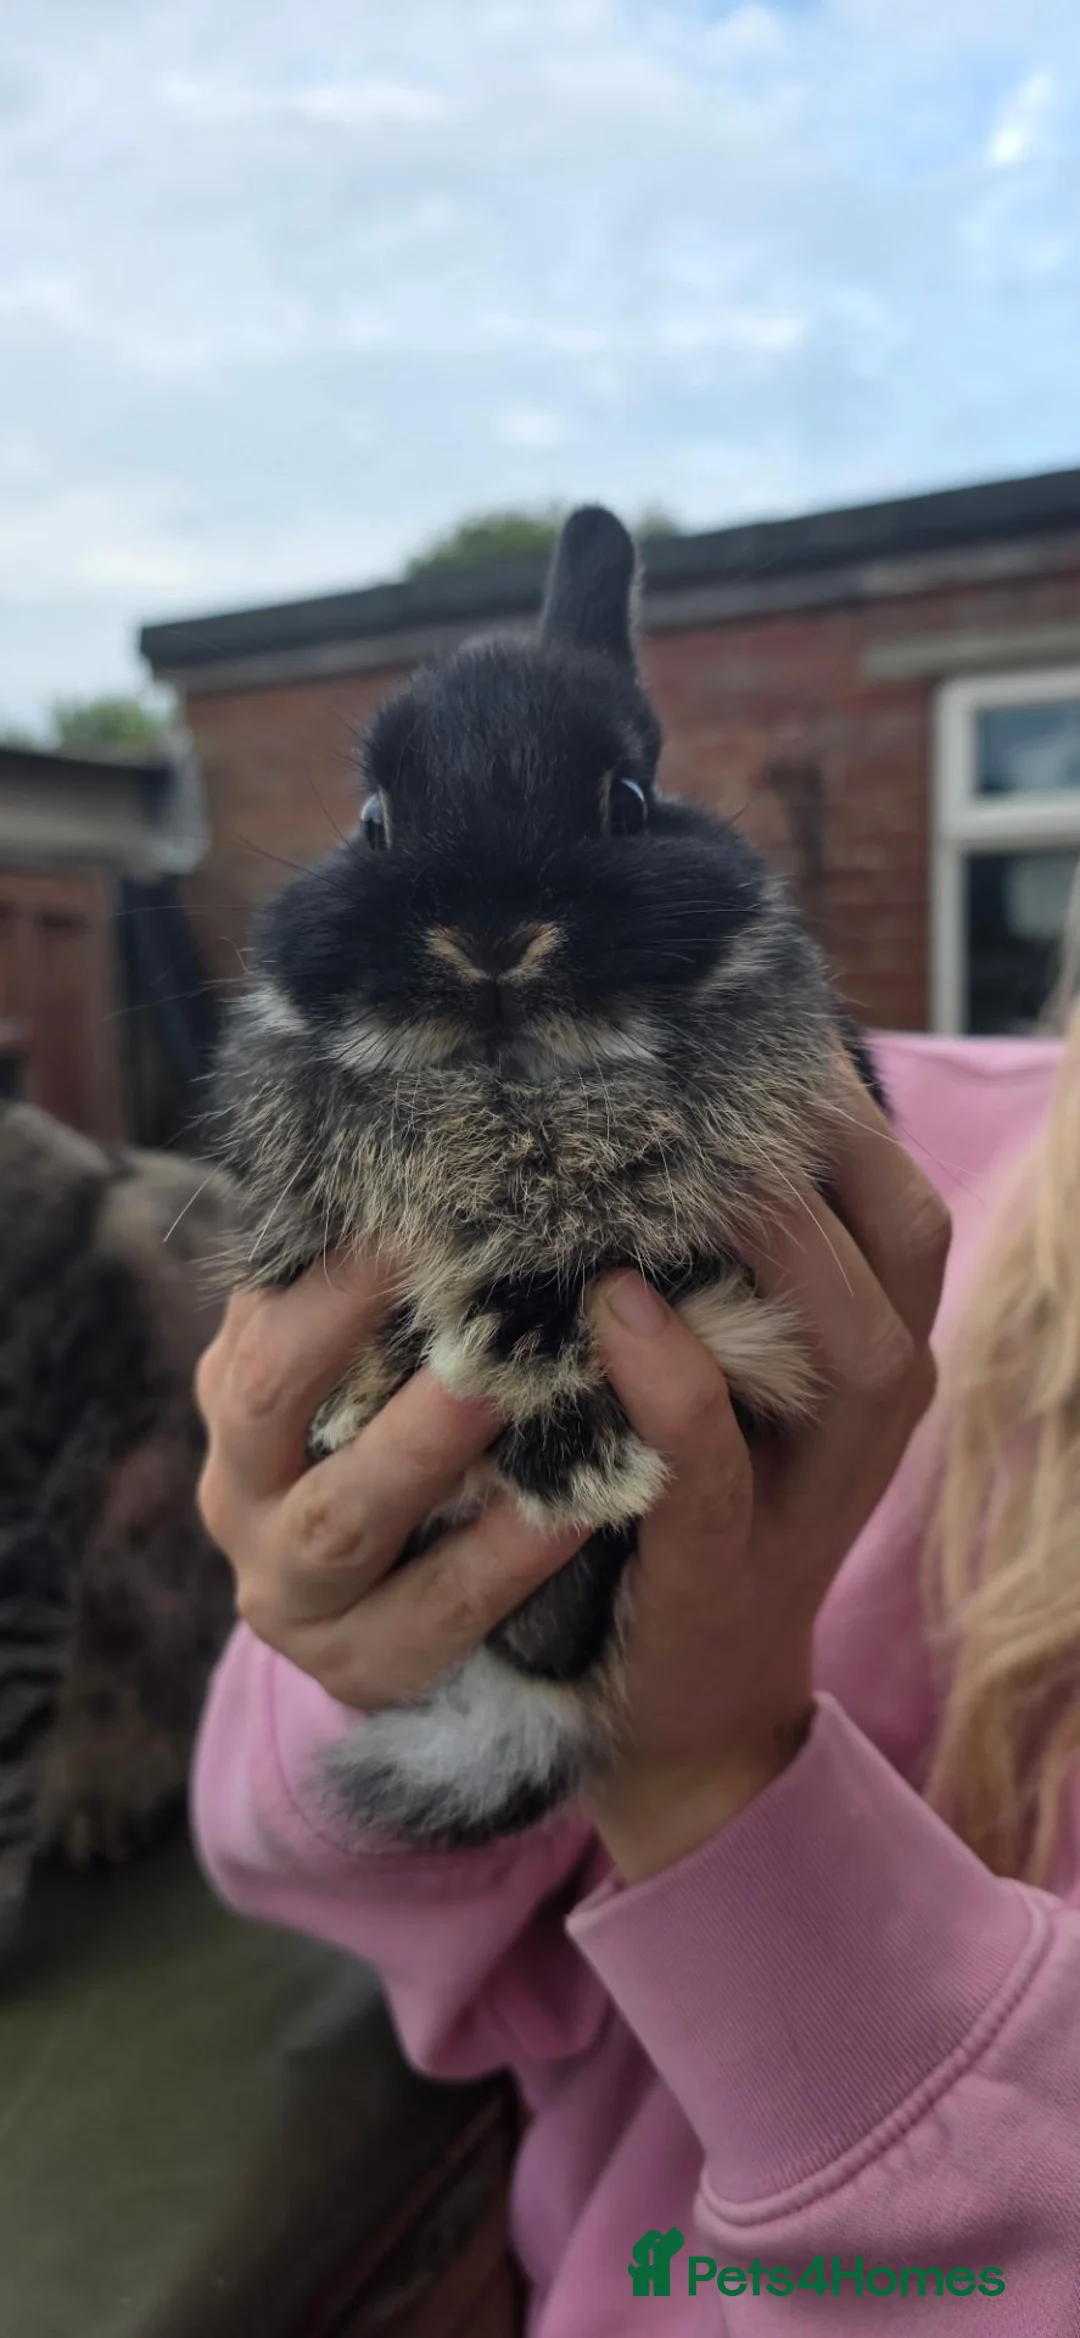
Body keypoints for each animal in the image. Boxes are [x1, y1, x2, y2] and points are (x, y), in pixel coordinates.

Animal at [209, 505, 885, 1849]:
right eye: (375, 819)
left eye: (626, 800)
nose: (488, 934)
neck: (516, 1090)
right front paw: (361, 1404)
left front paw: (557, 1423)